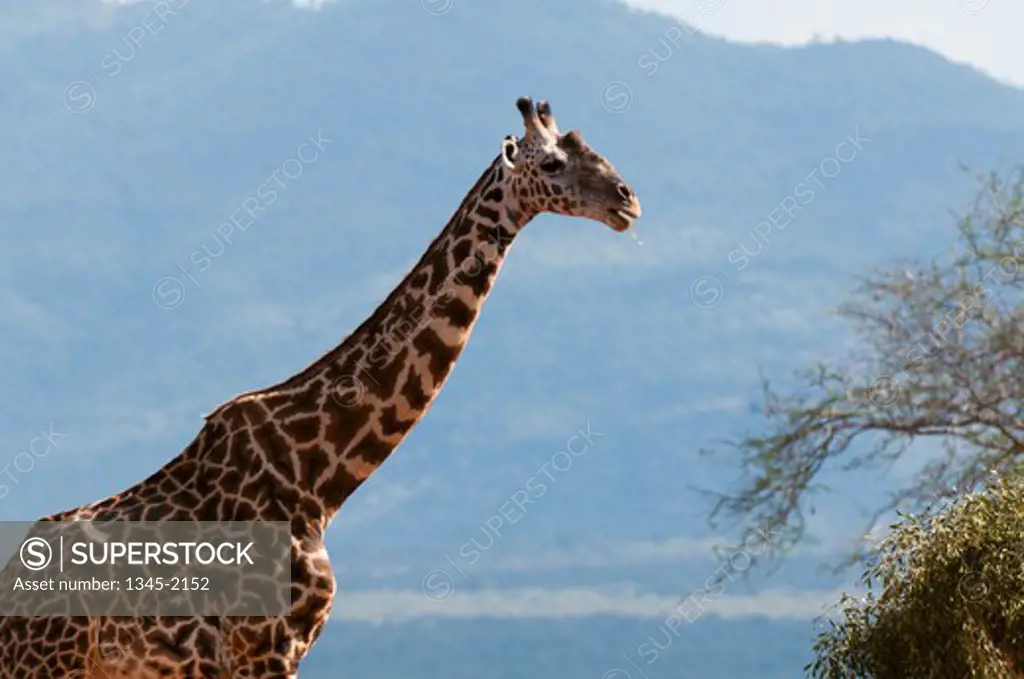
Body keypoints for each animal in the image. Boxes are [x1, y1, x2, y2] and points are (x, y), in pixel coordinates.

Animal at [0, 96, 638, 679]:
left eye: (591, 149)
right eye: (552, 163)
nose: (627, 200)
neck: (320, 477)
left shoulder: (288, 648)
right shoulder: (263, 650)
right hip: (46, 666)